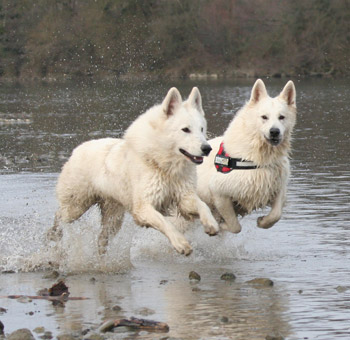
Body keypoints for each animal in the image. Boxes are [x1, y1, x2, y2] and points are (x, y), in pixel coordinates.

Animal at [48, 87, 219, 255]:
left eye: (201, 129)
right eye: (185, 129)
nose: (207, 148)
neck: (163, 164)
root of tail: (77, 149)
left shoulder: (184, 197)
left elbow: (202, 205)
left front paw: (211, 224)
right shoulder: (143, 207)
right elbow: (165, 223)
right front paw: (180, 243)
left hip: (113, 218)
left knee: (102, 237)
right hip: (76, 206)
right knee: (59, 214)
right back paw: (54, 234)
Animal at [196, 79, 296, 234]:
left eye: (281, 117)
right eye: (264, 117)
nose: (274, 131)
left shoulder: (277, 185)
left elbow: (276, 214)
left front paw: (263, 221)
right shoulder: (219, 191)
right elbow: (234, 225)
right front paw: (220, 225)